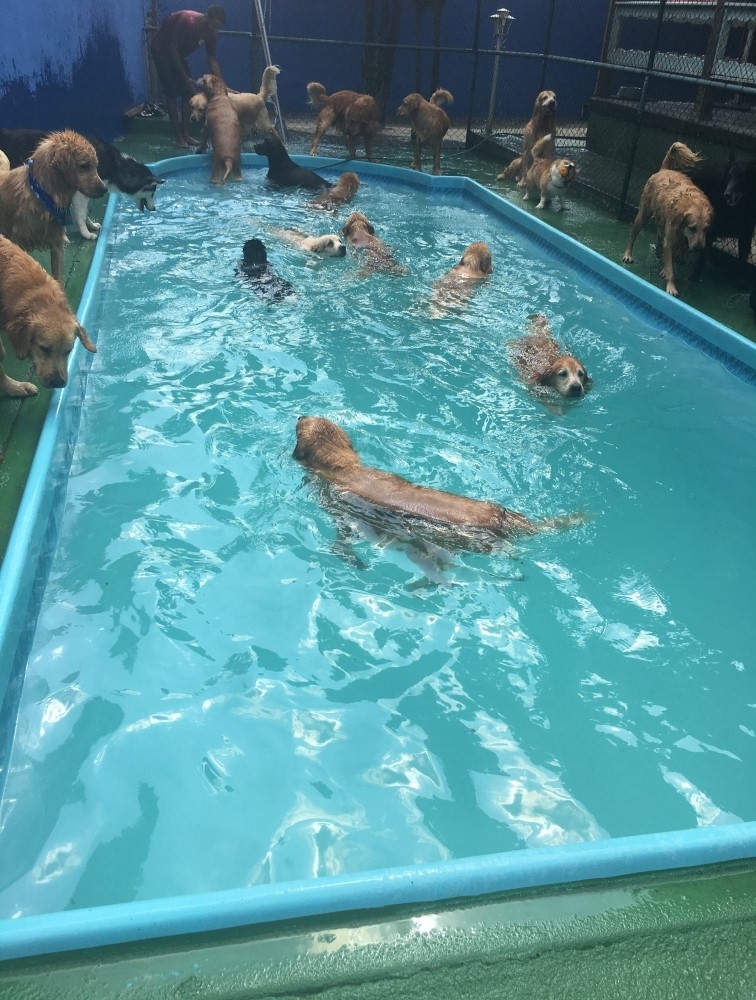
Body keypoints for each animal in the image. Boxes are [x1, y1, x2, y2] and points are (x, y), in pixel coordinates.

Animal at [0, 127, 164, 240]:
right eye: (153, 192)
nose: (154, 208)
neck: (115, 165)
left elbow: (84, 213)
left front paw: (91, 226)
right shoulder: (80, 193)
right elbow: (81, 214)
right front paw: (86, 233)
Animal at [0, 129, 106, 284]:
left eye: (95, 165)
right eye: (84, 165)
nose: (105, 189)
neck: (41, 194)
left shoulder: (57, 244)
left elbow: (59, 279)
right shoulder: (16, 242)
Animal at [624, 142, 712, 296]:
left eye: (706, 229)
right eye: (692, 228)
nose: (699, 248)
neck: (690, 202)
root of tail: (664, 169)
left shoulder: (679, 233)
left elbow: (678, 248)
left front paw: (680, 257)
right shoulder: (672, 236)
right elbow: (670, 265)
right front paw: (671, 286)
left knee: (661, 233)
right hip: (643, 215)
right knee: (633, 234)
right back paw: (628, 254)